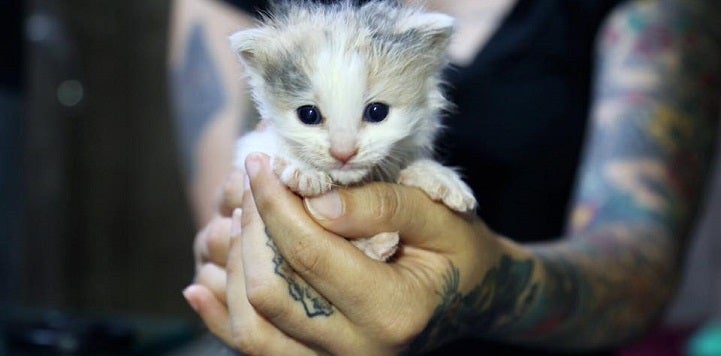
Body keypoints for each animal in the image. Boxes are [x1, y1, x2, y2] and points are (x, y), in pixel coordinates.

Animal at [232, 0, 478, 262]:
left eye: (377, 112)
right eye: (308, 114)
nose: (343, 153)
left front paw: (434, 174)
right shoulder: (250, 146)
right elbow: (265, 146)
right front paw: (302, 168)